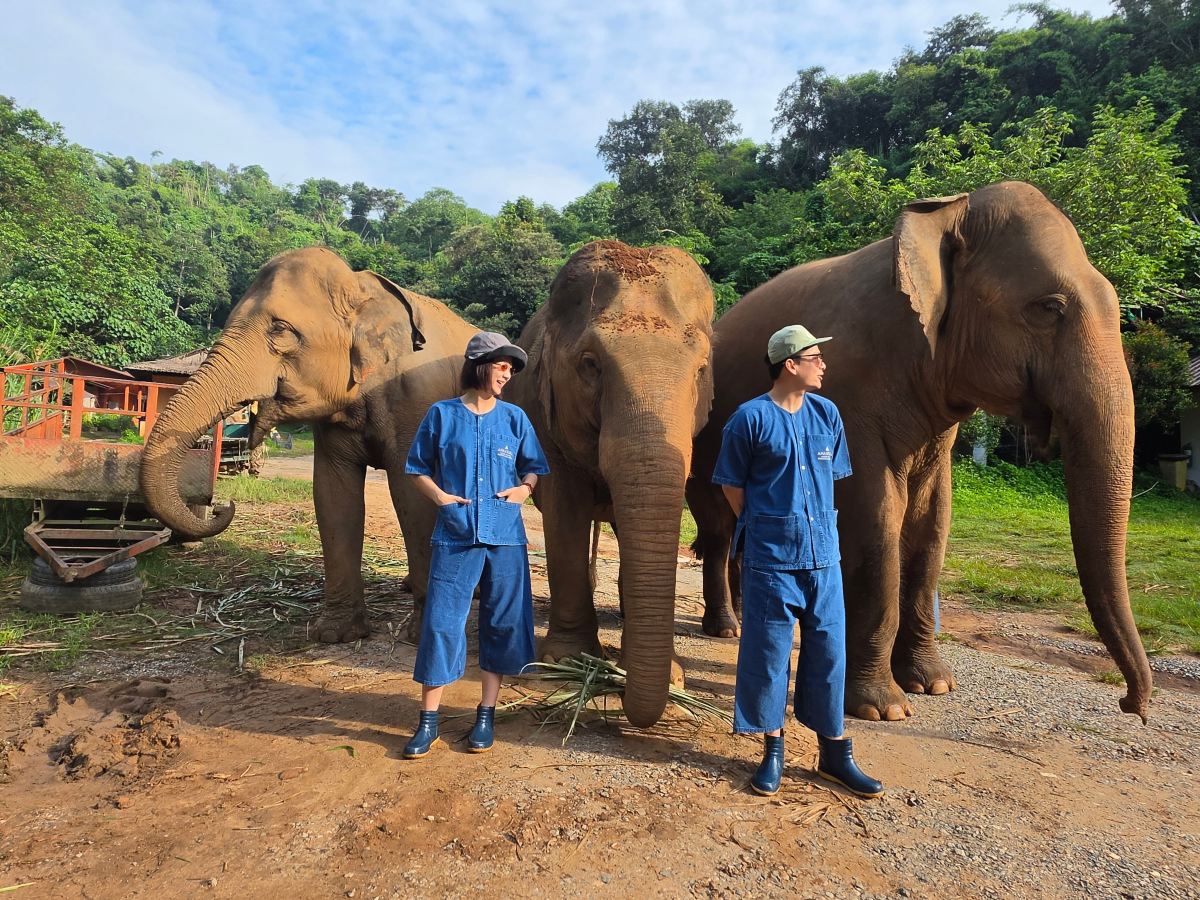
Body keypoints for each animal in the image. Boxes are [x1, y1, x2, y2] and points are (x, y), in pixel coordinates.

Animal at [140, 246, 478, 642]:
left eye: (280, 330)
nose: (222, 503)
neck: (363, 287)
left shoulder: (417, 398)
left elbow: (413, 494)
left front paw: (420, 636)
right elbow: (332, 493)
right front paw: (335, 634)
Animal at [506, 240, 715, 728]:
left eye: (701, 369)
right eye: (590, 364)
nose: (621, 700)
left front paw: (670, 675)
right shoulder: (544, 421)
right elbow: (565, 509)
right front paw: (565, 664)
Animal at [687, 181, 1152, 723]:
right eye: (1048, 307)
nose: (1133, 706)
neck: (946, 217)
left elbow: (933, 520)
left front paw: (934, 685)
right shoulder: (850, 395)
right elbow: (875, 519)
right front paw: (881, 709)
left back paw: (741, 625)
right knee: (720, 530)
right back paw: (726, 629)